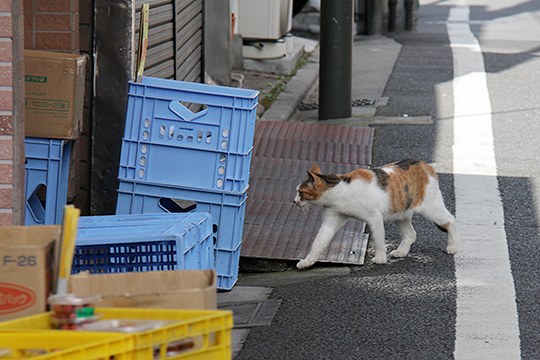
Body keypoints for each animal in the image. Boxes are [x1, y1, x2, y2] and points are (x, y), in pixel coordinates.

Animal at [294, 159, 458, 268]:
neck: (339, 190)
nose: (294, 201)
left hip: (431, 209)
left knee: (451, 220)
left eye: (301, 193)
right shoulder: (331, 220)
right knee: (411, 234)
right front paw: (307, 261)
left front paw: (380, 258)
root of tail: (425, 165)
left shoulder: (374, 218)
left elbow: (379, 240)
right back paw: (401, 252)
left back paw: (452, 246)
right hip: (400, 213)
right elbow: (318, 242)